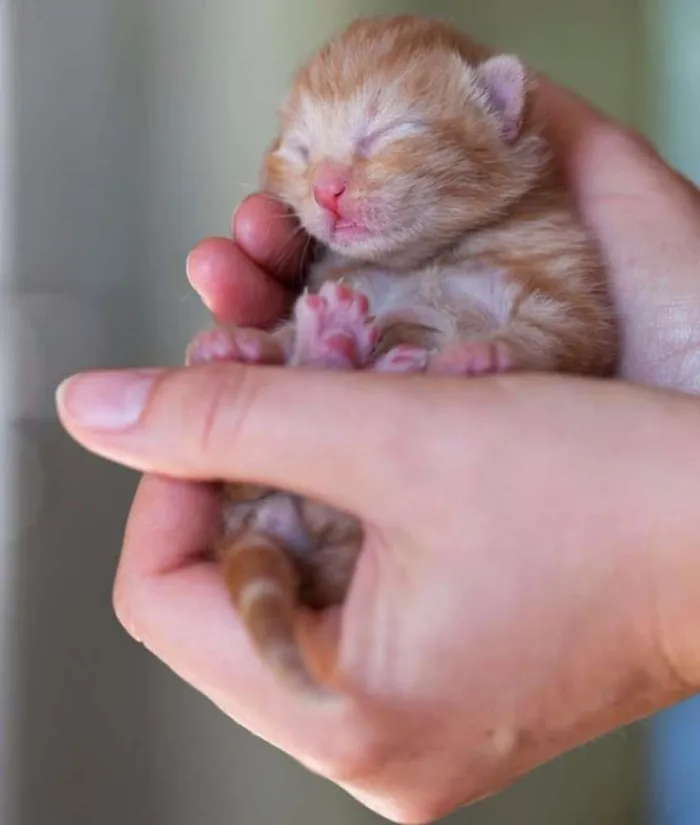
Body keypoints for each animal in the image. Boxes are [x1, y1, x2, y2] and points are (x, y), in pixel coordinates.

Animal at [187, 14, 616, 696]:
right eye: (301, 150)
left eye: (389, 132)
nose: (327, 190)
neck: (429, 257)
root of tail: (256, 531)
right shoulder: (347, 280)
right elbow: (288, 326)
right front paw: (247, 340)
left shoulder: (575, 298)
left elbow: (556, 337)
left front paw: (483, 352)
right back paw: (319, 346)